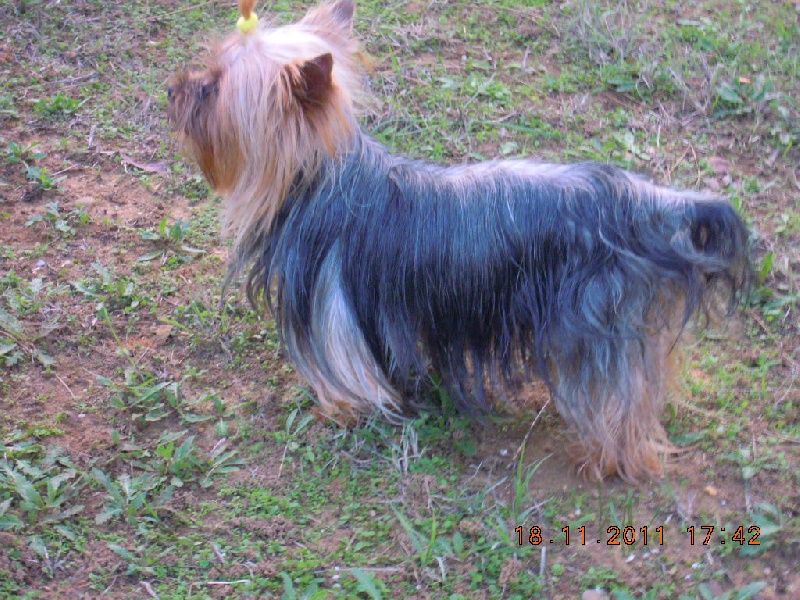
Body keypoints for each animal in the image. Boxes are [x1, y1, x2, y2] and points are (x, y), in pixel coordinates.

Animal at [169, 0, 752, 480]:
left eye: (213, 86)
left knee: (618, 401)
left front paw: (341, 408)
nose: (174, 89)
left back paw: (610, 460)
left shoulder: (333, 303)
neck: (318, 176)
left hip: (593, 322)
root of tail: (646, 202)